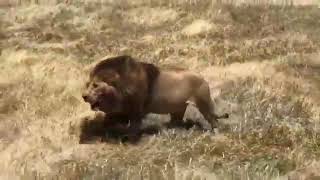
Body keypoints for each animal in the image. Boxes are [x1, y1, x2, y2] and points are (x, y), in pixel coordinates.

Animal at [81, 54, 229, 138]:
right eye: (87, 84)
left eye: (95, 85)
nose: (84, 96)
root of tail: (203, 79)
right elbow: (107, 121)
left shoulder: (135, 110)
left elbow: (133, 126)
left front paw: (128, 138)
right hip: (178, 109)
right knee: (177, 121)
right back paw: (169, 130)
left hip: (203, 103)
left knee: (213, 120)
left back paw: (216, 134)